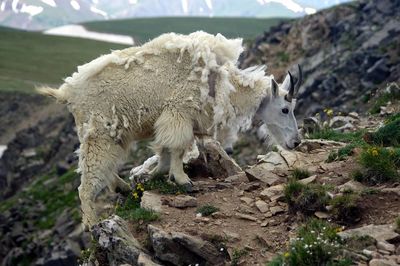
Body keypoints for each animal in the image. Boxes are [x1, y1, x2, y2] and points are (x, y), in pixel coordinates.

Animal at [38, 31, 300, 227]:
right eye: (285, 109)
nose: (296, 142)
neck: (221, 84)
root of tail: (66, 93)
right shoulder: (178, 113)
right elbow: (178, 147)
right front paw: (183, 179)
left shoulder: (173, 120)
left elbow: (165, 151)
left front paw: (152, 175)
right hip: (100, 134)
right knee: (87, 182)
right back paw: (92, 224)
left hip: (112, 135)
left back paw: (123, 187)